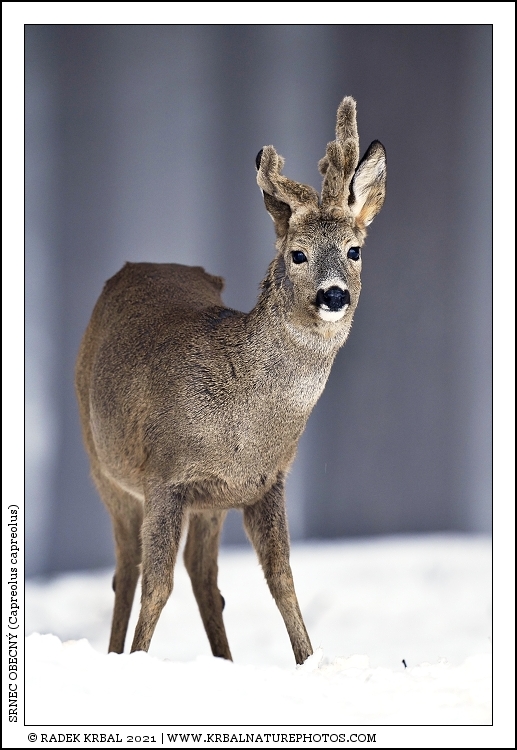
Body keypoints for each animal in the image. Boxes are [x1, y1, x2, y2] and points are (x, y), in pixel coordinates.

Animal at [75, 97, 386, 665]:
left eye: (355, 250)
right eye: (297, 253)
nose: (334, 295)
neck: (242, 427)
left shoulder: (265, 482)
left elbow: (283, 581)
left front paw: (309, 661)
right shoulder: (165, 475)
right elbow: (157, 586)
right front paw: (138, 659)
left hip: (210, 503)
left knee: (203, 575)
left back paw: (224, 661)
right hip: (101, 465)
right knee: (126, 571)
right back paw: (114, 654)